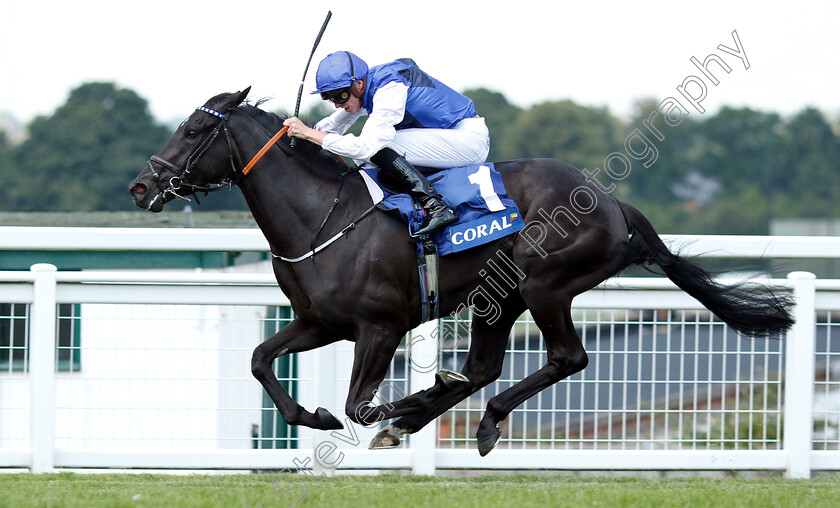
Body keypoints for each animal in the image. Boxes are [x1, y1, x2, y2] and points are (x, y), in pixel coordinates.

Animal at [126, 88, 796, 456]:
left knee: (564, 358)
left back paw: (451, 413)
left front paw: (393, 407)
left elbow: (360, 405)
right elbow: (262, 360)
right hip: (497, 297)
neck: (322, 215)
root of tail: (613, 204)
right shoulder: (321, 322)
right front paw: (312, 417)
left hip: (543, 284)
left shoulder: (381, 325)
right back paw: (446, 416)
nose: (140, 186)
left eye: (193, 128)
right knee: (484, 367)